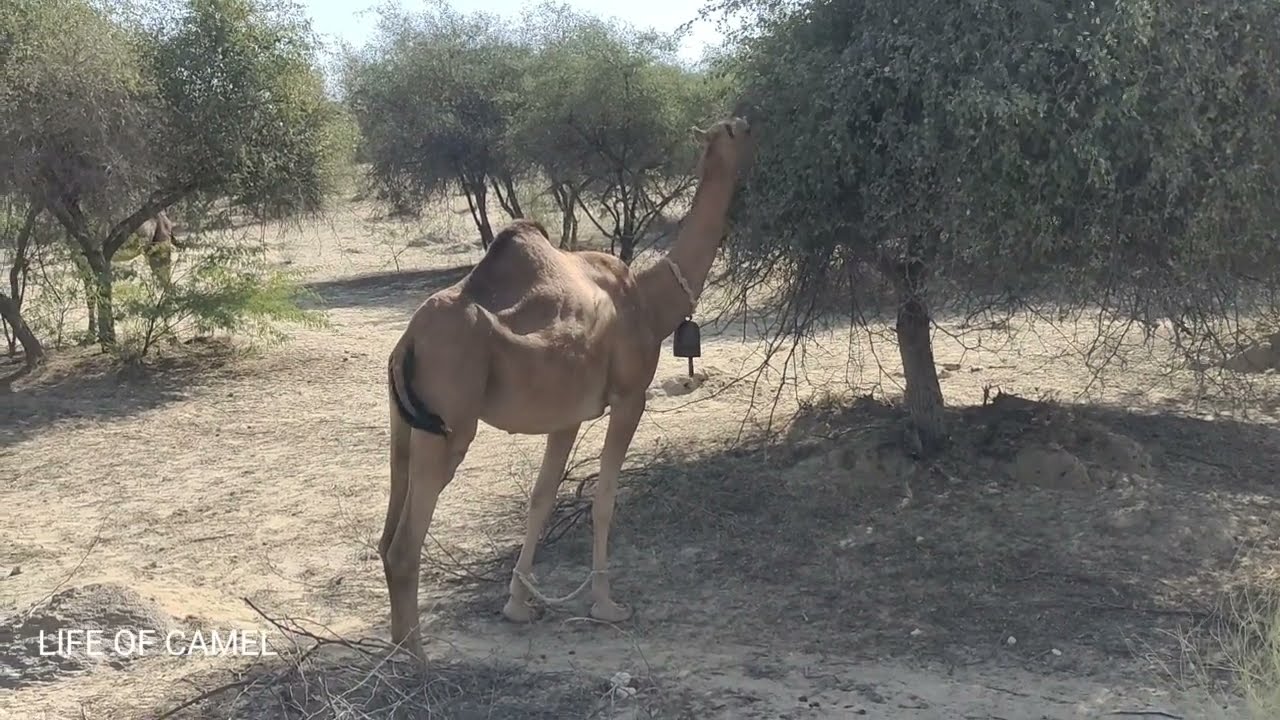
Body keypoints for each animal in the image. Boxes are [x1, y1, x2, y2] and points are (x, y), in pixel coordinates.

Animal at [380, 116, 756, 660]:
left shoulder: (567, 415)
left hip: (402, 424)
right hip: (449, 425)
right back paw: (419, 660)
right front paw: (606, 605)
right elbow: (604, 497)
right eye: (732, 130)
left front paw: (518, 605)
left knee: (387, 531)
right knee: (405, 545)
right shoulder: (629, 397)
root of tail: (407, 341)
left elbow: (541, 497)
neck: (650, 302)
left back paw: (396, 648)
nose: (754, 127)